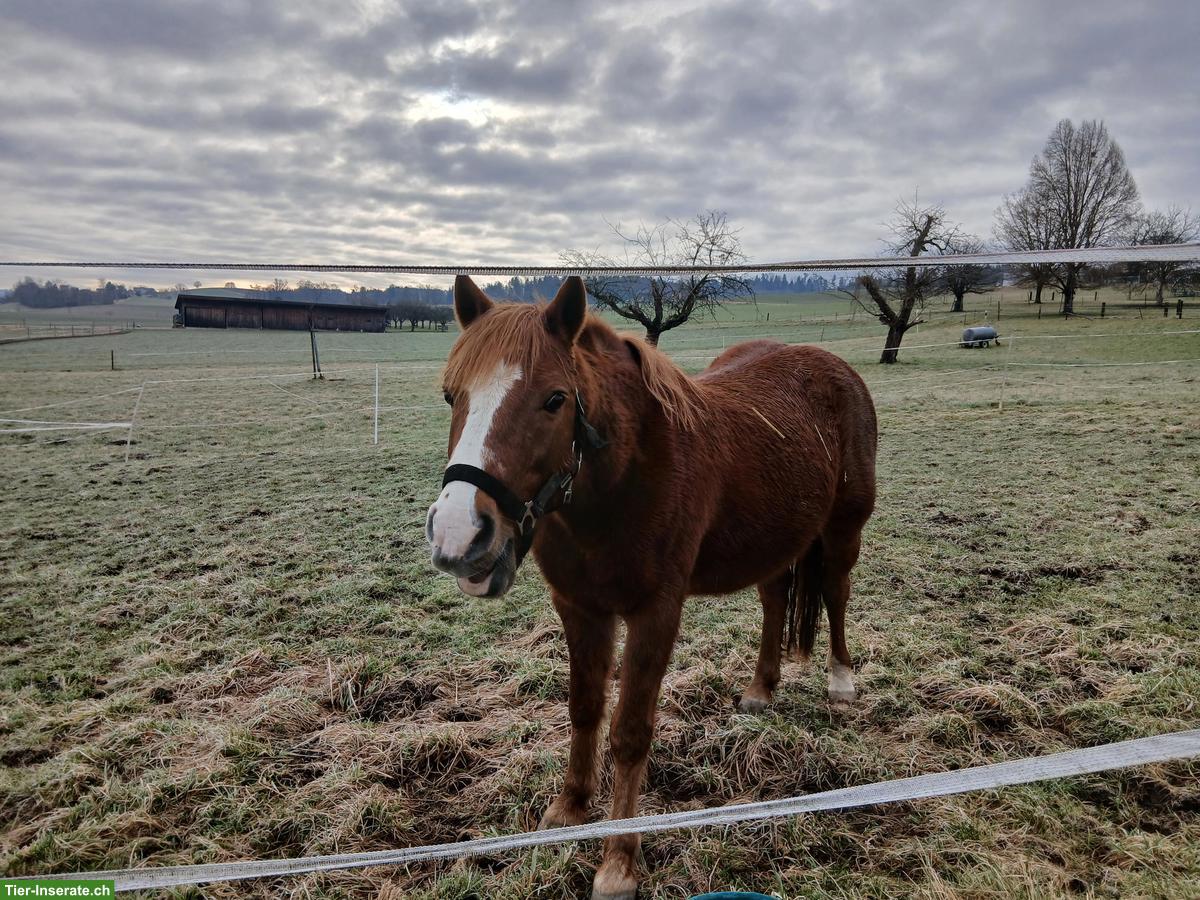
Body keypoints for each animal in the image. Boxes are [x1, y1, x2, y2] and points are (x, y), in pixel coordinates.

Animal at [426, 275, 877, 899]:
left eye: (555, 399)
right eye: (452, 396)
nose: (458, 534)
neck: (622, 482)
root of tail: (833, 366)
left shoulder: (655, 613)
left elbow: (630, 732)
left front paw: (618, 861)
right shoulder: (579, 609)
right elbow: (584, 708)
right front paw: (569, 810)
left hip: (841, 530)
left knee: (835, 593)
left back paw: (841, 680)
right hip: (773, 541)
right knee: (774, 600)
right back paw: (761, 689)